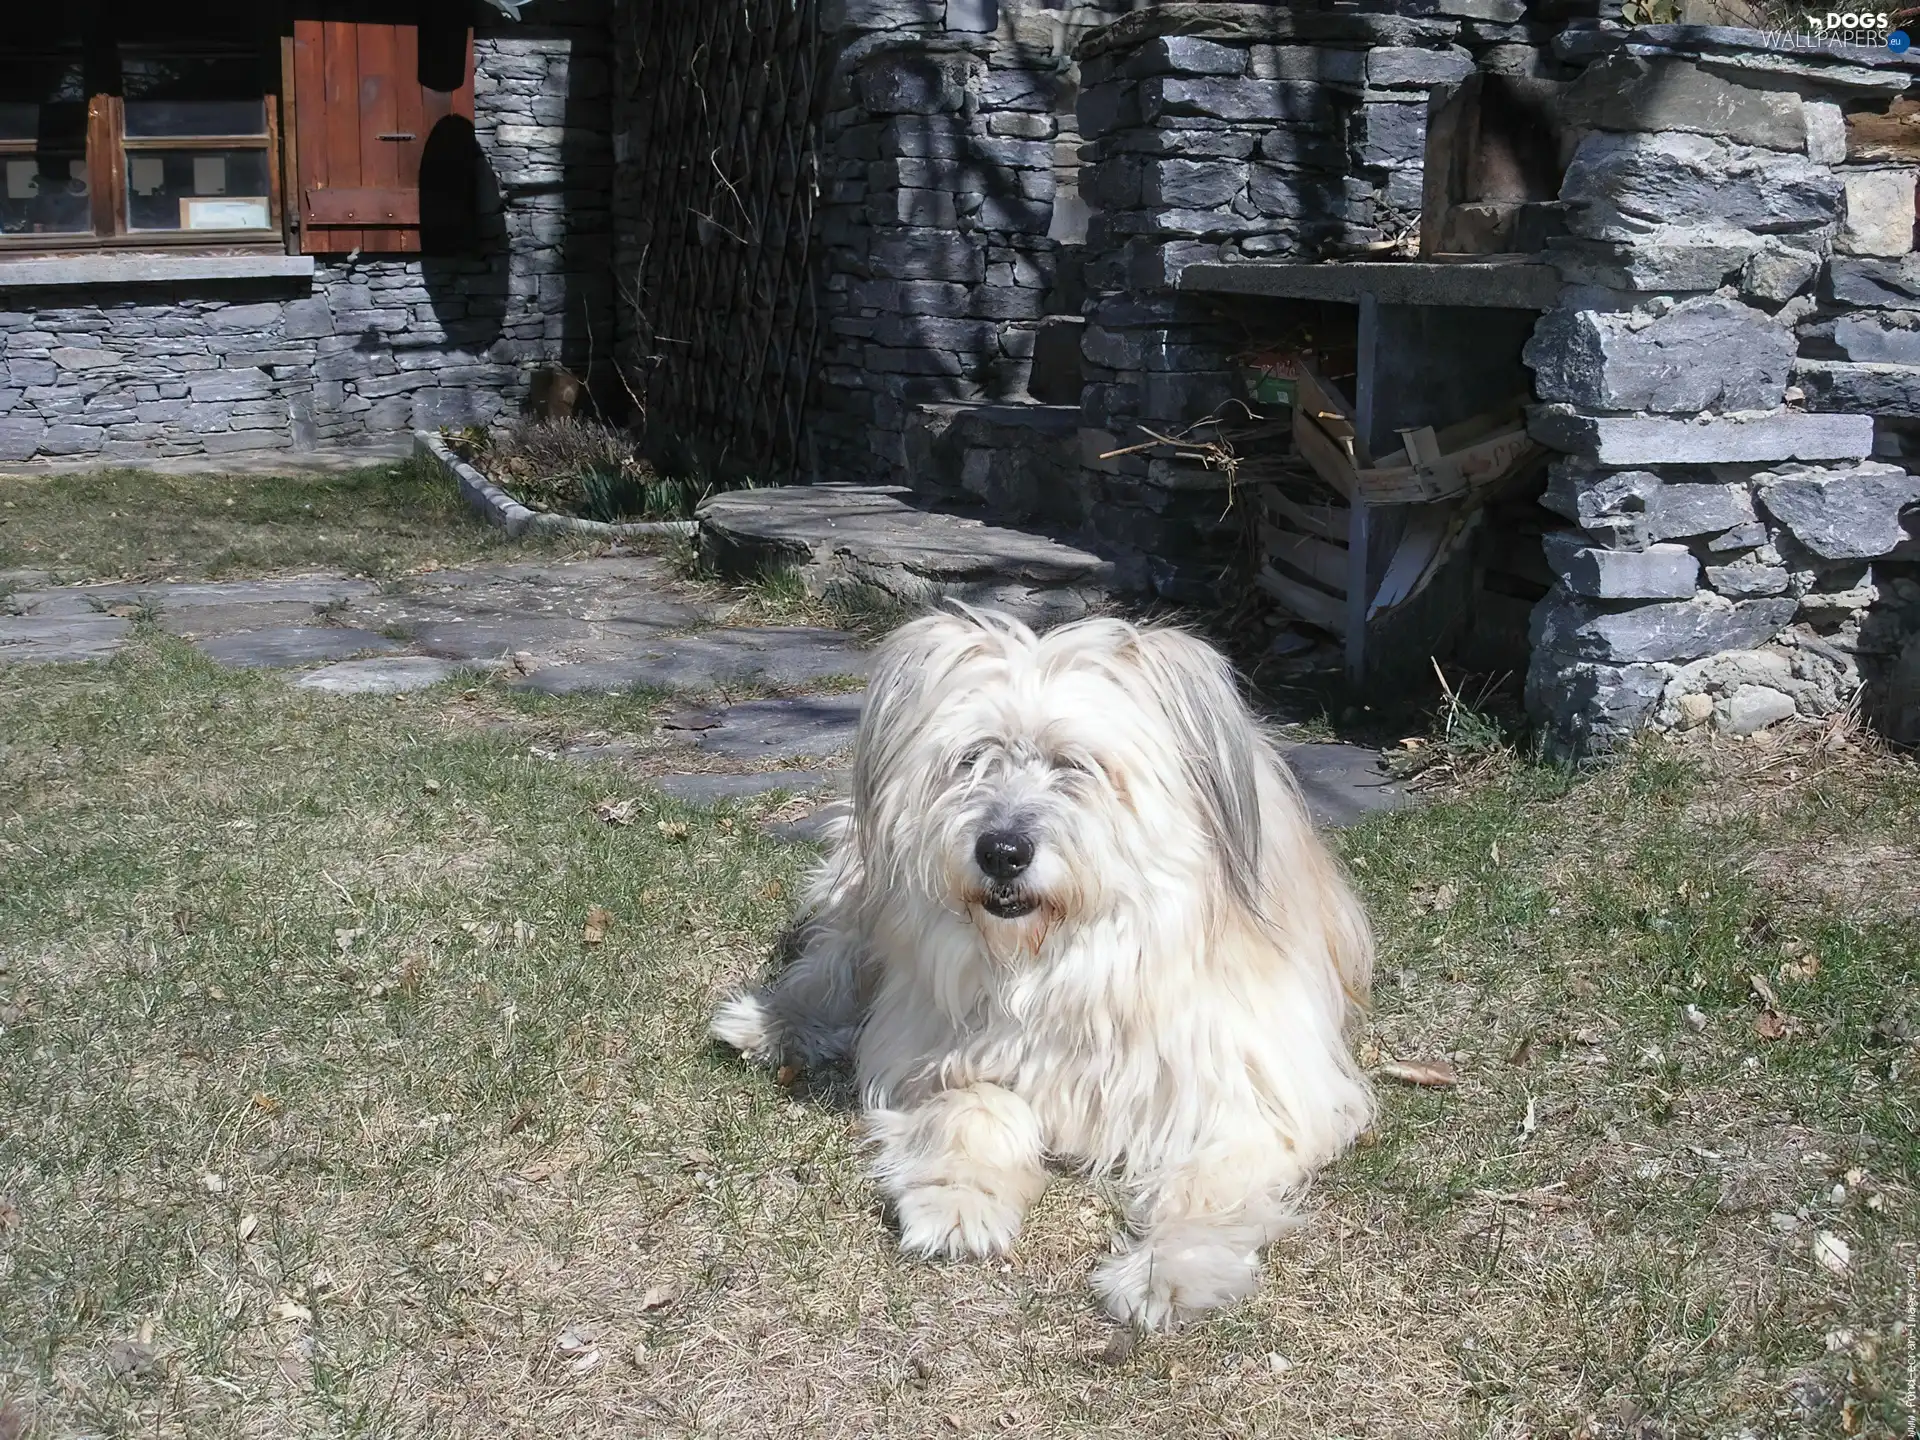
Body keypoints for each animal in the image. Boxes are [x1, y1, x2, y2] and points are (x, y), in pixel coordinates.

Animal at [714, 606, 1374, 1328]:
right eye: (972, 758)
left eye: (1074, 765)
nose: (1001, 851)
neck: (1062, 964)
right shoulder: (936, 1048)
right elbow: (977, 1104)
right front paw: (958, 1200)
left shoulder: (1258, 1095)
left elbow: (1209, 1183)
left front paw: (1164, 1271)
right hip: (863, 890)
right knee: (830, 964)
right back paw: (773, 1021)